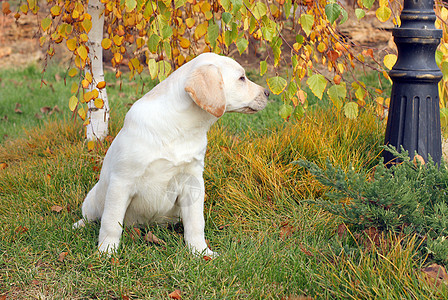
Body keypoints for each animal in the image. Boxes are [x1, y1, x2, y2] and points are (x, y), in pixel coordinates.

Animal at [73, 52, 270, 255]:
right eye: (242, 78)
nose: (268, 92)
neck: (181, 126)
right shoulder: (122, 181)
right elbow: (111, 222)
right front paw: (106, 252)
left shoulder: (193, 181)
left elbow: (196, 222)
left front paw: (200, 252)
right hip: (94, 197)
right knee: (91, 215)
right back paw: (79, 225)